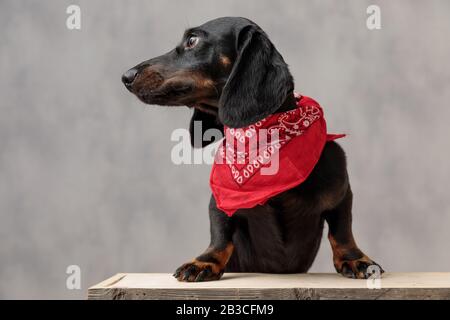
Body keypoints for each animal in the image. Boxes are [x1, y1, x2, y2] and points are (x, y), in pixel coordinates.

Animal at [122, 16, 384, 282]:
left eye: (192, 40)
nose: (126, 76)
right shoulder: (220, 201)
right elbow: (220, 234)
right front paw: (205, 261)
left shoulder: (342, 194)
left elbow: (342, 231)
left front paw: (355, 259)